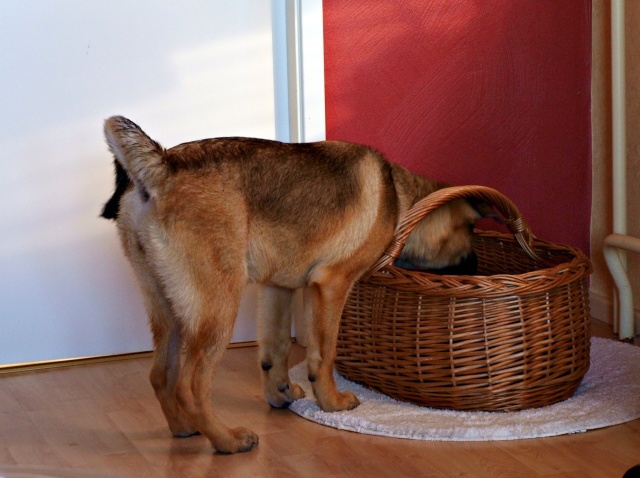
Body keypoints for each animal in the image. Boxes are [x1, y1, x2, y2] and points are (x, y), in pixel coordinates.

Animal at [101, 116, 489, 453]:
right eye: (470, 229)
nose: (477, 269)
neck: (398, 195)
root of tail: (162, 164)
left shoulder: (277, 289)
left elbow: (275, 351)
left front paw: (280, 394)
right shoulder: (331, 285)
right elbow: (324, 353)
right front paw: (332, 401)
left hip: (169, 309)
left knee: (160, 375)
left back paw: (184, 428)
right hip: (218, 308)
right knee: (190, 385)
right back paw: (227, 440)